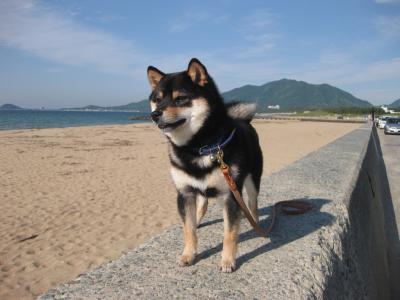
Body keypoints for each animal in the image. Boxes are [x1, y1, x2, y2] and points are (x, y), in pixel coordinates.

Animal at [147, 58, 262, 272]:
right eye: (157, 100)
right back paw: (198, 220)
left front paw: (227, 260)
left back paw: (256, 223)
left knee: (253, 203)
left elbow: (229, 234)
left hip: (252, 181)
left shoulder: (231, 195)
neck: (197, 147)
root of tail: (244, 121)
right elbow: (188, 230)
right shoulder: (185, 192)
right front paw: (188, 254)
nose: (155, 114)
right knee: (202, 204)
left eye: (180, 98)